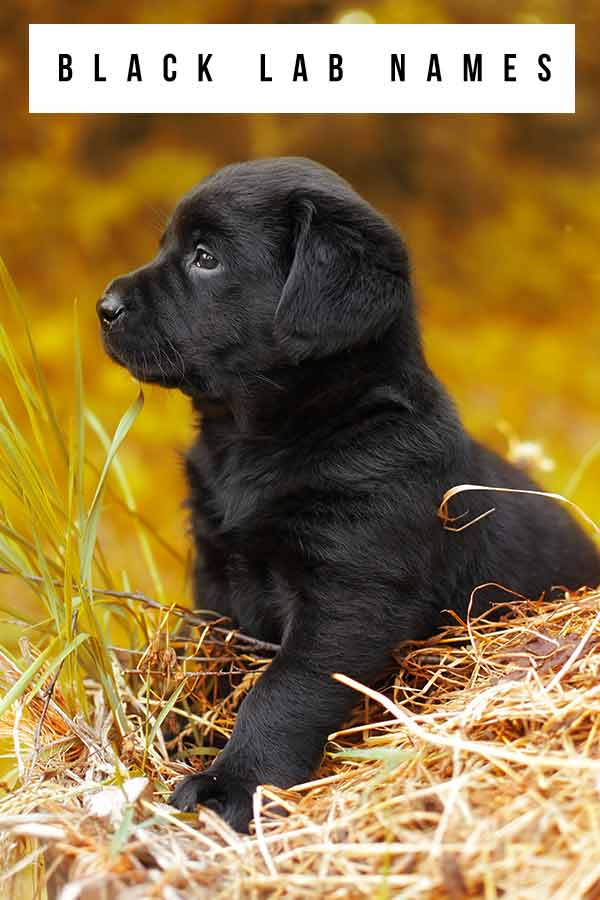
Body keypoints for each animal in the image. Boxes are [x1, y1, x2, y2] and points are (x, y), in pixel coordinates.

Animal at [97, 155, 596, 828]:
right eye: (166, 246)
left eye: (205, 257)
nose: (104, 306)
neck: (263, 440)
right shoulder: (217, 572)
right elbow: (207, 658)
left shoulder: (349, 593)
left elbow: (282, 689)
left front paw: (233, 783)